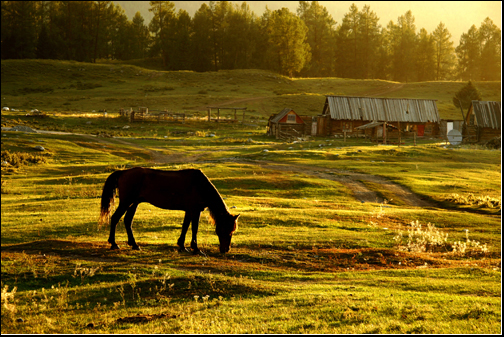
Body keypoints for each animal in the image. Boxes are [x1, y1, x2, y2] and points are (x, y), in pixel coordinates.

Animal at [99, 167, 241, 253]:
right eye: (227, 229)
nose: (226, 249)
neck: (200, 185)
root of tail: (123, 172)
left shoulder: (190, 211)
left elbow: (186, 227)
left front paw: (182, 246)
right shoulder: (194, 210)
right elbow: (193, 228)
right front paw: (194, 248)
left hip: (134, 203)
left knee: (128, 221)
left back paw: (134, 244)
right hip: (126, 202)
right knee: (115, 218)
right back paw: (114, 243)